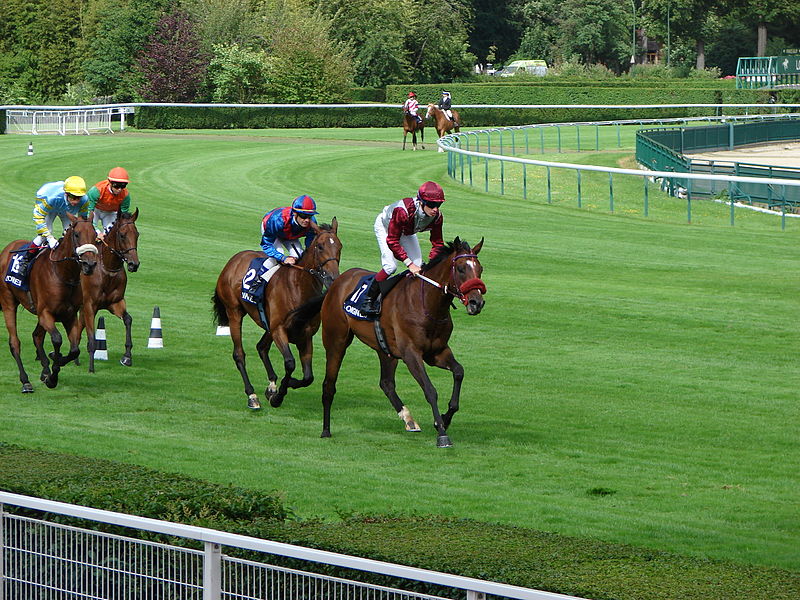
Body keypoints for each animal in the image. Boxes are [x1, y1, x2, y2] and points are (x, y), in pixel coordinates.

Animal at [0, 213, 99, 392]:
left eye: (95, 236)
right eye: (76, 235)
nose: (89, 264)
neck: (63, 274)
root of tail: (6, 250)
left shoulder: (69, 316)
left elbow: (75, 350)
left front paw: (54, 363)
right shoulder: (46, 313)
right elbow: (57, 339)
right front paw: (53, 375)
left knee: (37, 336)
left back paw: (45, 370)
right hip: (8, 302)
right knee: (14, 343)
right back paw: (25, 381)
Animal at [81, 209, 141, 372]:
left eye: (137, 234)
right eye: (122, 235)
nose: (134, 264)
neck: (107, 270)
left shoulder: (115, 302)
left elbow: (128, 320)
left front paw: (127, 357)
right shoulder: (89, 305)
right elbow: (90, 335)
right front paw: (91, 368)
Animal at [212, 220, 340, 412]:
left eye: (339, 246)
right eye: (320, 246)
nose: (332, 278)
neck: (297, 287)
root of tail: (234, 260)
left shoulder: (305, 335)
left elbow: (308, 377)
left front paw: (283, 386)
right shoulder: (279, 330)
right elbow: (290, 363)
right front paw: (278, 396)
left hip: (268, 325)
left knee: (261, 347)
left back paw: (271, 385)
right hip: (234, 312)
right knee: (239, 354)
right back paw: (252, 396)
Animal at [320, 237, 488, 448]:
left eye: (480, 268)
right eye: (460, 268)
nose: (476, 303)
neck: (427, 305)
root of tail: (339, 280)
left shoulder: (437, 352)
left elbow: (459, 372)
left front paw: (444, 419)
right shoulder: (411, 354)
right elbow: (430, 390)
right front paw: (442, 434)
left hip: (385, 348)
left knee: (386, 383)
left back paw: (408, 419)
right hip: (336, 340)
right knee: (329, 385)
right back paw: (326, 430)